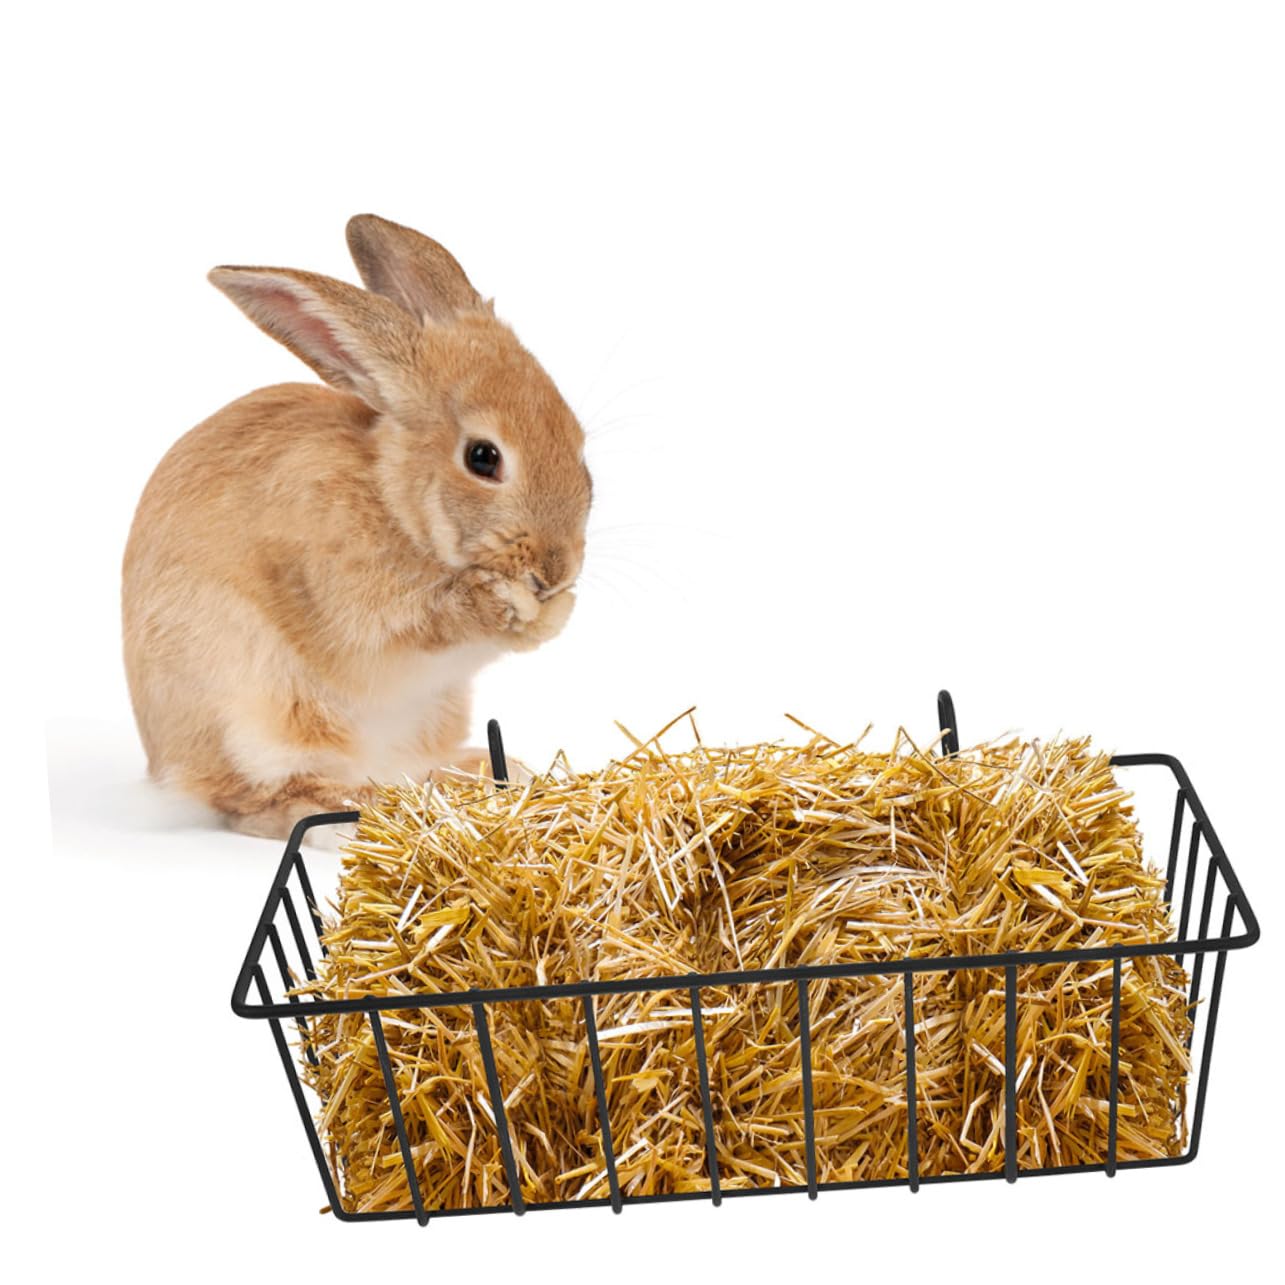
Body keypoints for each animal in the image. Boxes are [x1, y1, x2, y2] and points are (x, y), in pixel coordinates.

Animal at [122, 214, 591, 839]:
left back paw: (484, 772)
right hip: (251, 710)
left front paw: (554, 612)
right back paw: (343, 811)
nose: (555, 570)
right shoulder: (352, 601)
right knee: (251, 801)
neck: (396, 501)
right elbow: (426, 621)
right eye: (483, 458)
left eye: (577, 440)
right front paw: (506, 605)